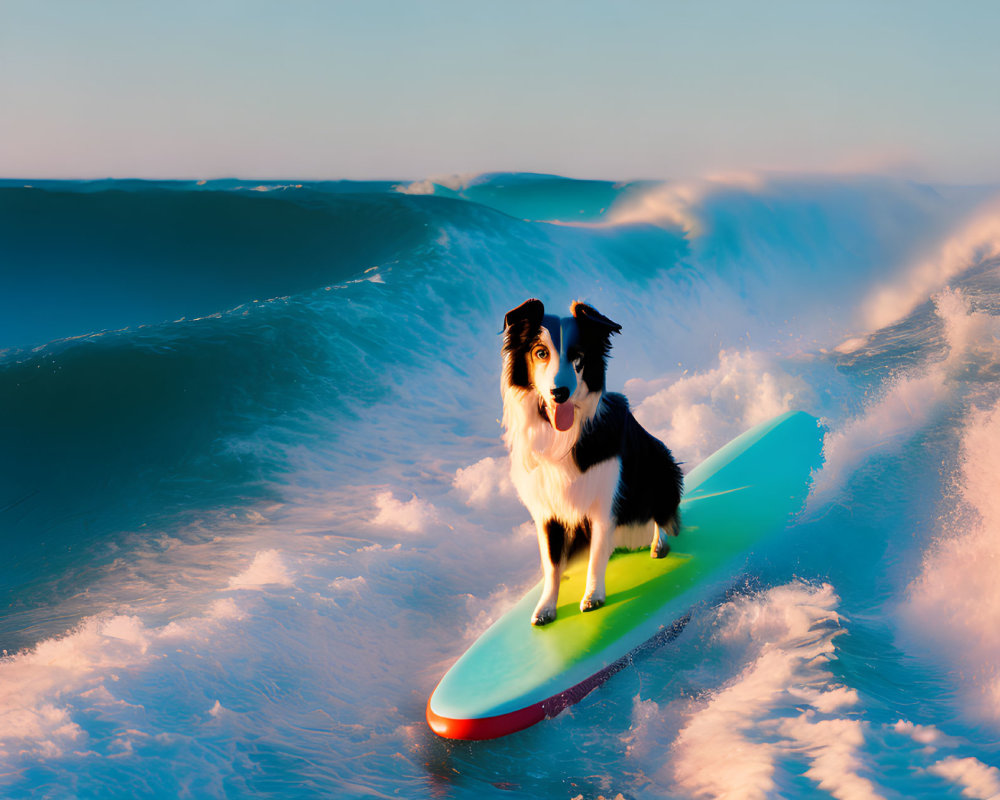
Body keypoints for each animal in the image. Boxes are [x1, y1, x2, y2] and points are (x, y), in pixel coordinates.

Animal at [504, 298, 684, 624]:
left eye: (578, 356)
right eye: (540, 353)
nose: (559, 393)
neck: (562, 435)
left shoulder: (604, 500)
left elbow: (598, 552)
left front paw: (593, 596)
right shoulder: (546, 511)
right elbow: (551, 562)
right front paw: (547, 606)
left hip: (664, 466)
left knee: (662, 516)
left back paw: (658, 543)